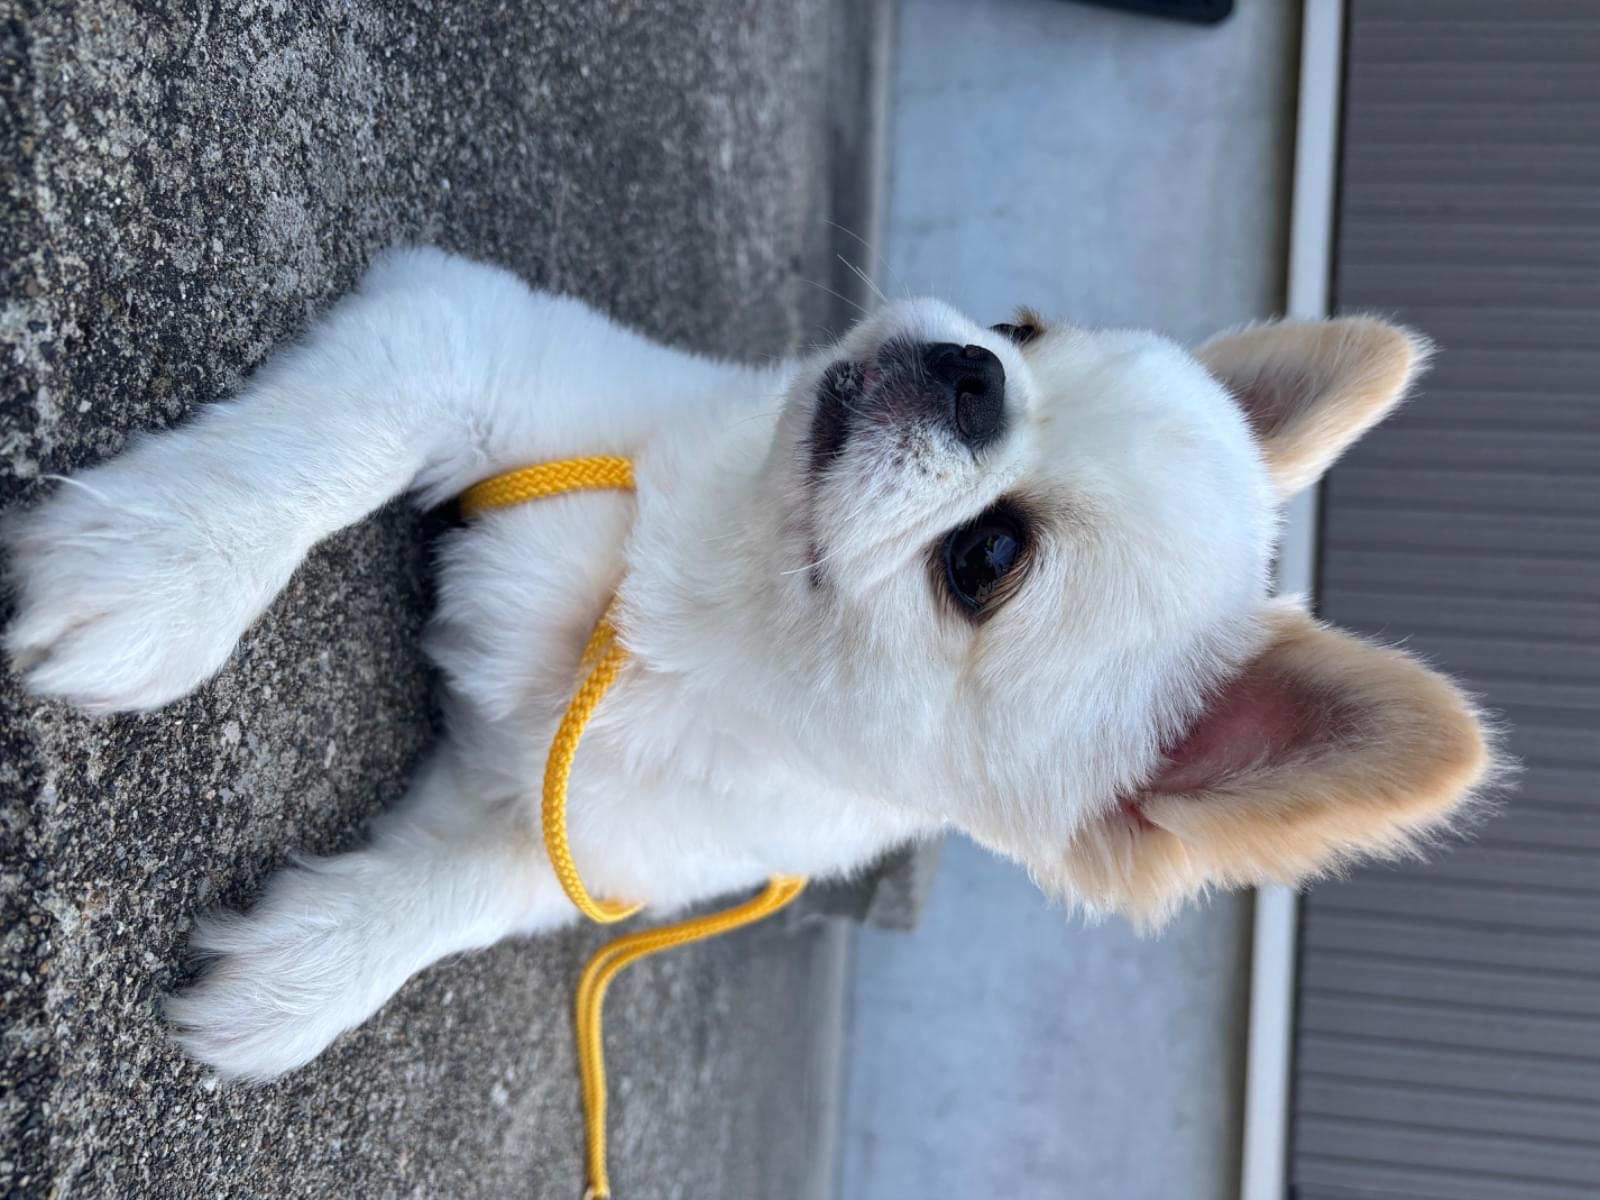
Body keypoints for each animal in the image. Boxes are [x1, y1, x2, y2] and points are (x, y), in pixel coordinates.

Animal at [4, 247, 1495, 1082]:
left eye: (989, 560)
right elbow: (327, 447)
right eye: (1020, 329)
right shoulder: (467, 338)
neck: (675, 626)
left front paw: (309, 980)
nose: (967, 371)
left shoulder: (581, 841)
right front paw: (163, 569)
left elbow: (449, 898)